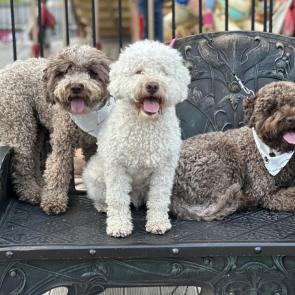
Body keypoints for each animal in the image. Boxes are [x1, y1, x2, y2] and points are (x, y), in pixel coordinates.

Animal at [0, 45, 110, 215]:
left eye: (91, 71)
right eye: (66, 71)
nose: (76, 87)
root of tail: (7, 68)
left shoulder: (94, 145)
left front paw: (103, 202)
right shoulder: (62, 143)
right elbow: (57, 168)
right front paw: (53, 201)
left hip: (38, 129)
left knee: (34, 158)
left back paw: (40, 186)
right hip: (19, 122)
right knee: (22, 163)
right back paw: (31, 192)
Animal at [82, 40, 191, 238]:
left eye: (163, 72)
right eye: (139, 71)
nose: (152, 85)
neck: (145, 126)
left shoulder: (163, 170)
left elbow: (159, 199)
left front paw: (158, 223)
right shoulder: (116, 168)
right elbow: (117, 200)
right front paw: (119, 226)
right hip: (95, 177)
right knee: (103, 197)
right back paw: (103, 206)